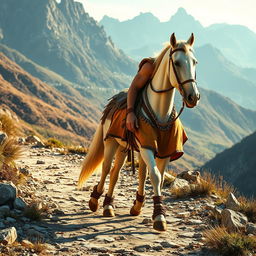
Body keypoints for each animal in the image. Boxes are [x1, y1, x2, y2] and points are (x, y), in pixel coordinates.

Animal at [77, 33, 200, 231]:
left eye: (195, 62)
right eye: (177, 62)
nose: (193, 97)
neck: (161, 112)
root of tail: (113, 102)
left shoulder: (165, 151)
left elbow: (154, 177)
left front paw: (143, 208)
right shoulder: (146, 146)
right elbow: (155, 176)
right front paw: (159, 217)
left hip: (124, 148)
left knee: (118, 173)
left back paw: (111, 206)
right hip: (111, 142)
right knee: (106, 169)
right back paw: (95, 201)